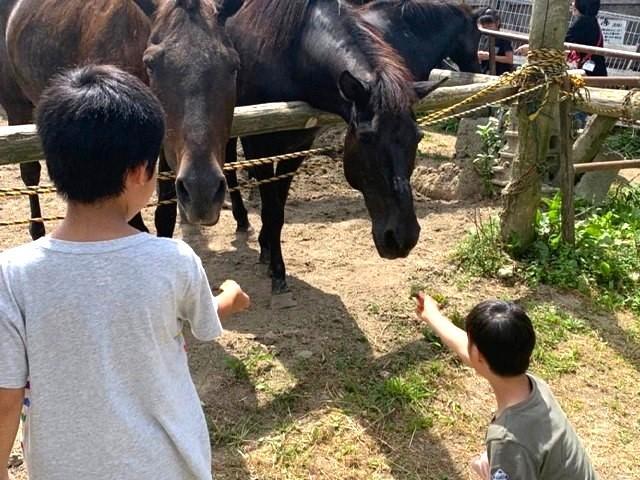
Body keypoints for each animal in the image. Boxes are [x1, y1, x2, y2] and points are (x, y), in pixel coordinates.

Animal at [0, 0, 240, 239]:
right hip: (17, 107)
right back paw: (37, 229)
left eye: (233, 66)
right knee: (30, 173)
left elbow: (164, 213)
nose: (203, 189)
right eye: (150, 64)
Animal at [222, 0, 442, 304]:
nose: (402, 238)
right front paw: (278, 271)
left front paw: (267, 247)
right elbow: (272, 208)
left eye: (418, 138)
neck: (292, 58)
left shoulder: (297, 147)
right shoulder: (259, 144)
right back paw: (241, 218)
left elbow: (278, 206)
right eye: (367, 137)